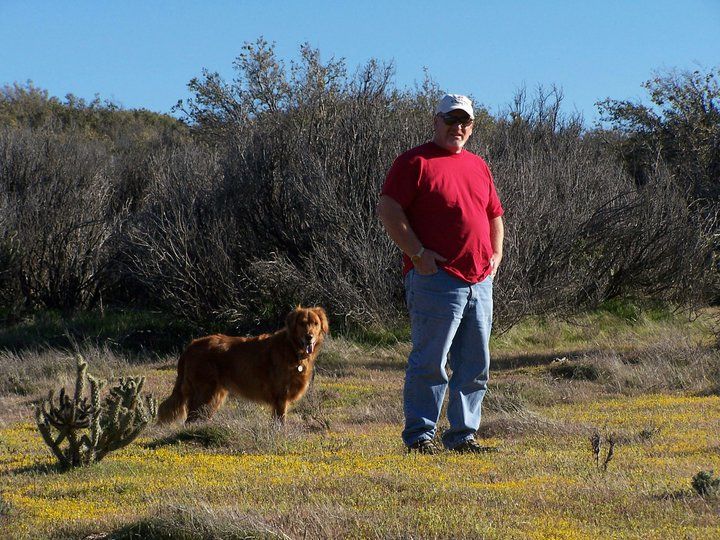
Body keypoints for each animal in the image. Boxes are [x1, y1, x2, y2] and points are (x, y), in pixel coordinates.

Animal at [159, 306, 330, 424]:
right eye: (302, 323)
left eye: (315, 323)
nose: (309, 337)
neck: (292, 348)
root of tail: (192, 345)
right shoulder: (280, 396)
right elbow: (280, 422)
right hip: (205, 392)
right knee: (190, 420)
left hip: (214, 395)